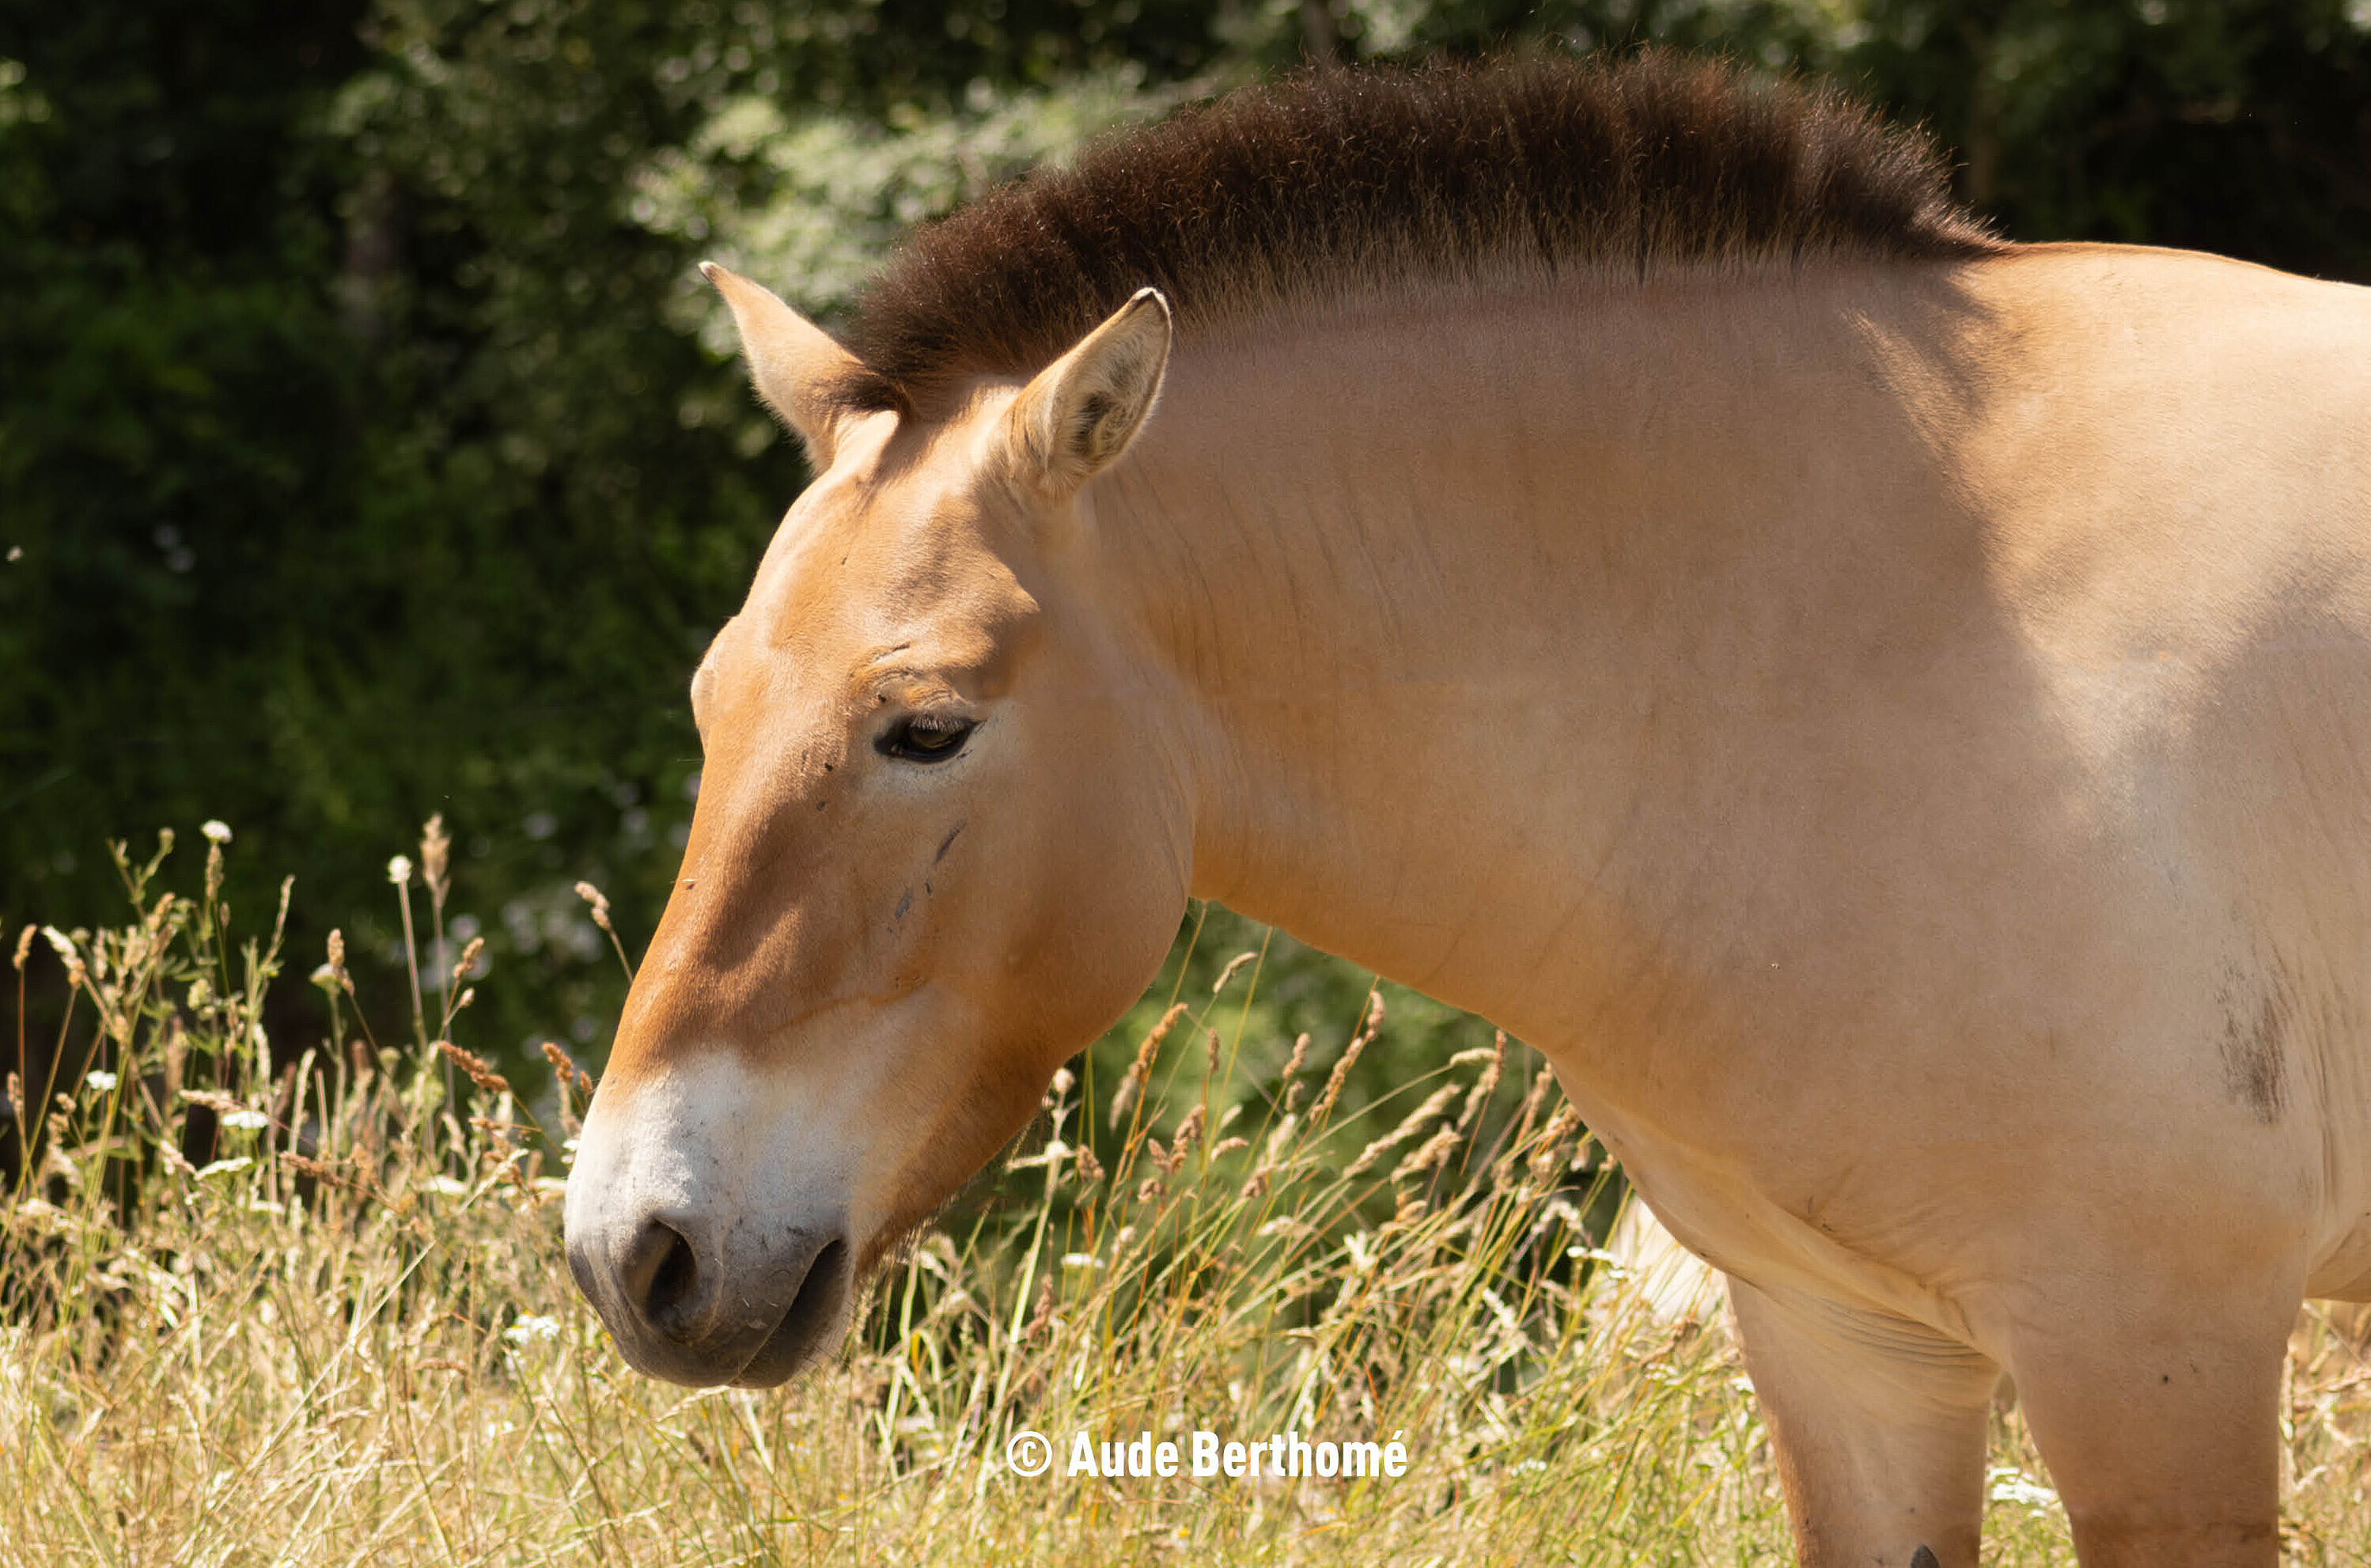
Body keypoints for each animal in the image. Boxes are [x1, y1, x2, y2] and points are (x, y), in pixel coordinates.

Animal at [563, 54, 2371, 1567]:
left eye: (923, 728)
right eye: (713, 699)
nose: (635, 1247)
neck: (1895, 631)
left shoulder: (2147, 1354)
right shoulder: (1850, 1352)